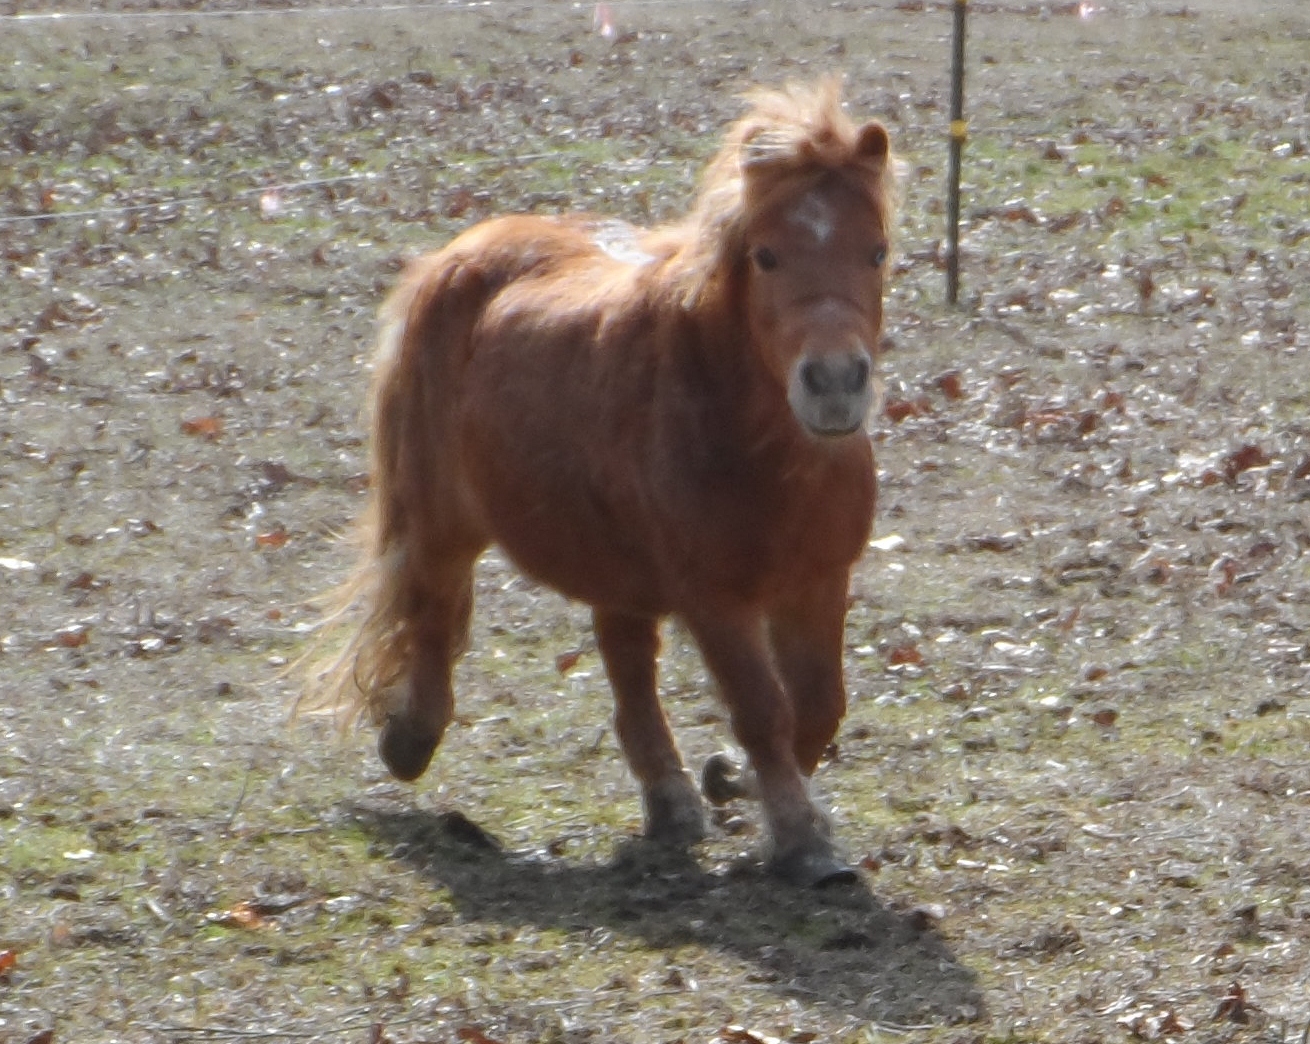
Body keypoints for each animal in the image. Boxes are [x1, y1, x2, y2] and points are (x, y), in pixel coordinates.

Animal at [310, 79, 896, 887]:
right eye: (766, 256)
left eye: (876, 251)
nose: (835, 384)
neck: (770, 458)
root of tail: (460, 254)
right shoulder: (715, 601)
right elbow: (763, 709)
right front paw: (802, 841)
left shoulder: (817, 582)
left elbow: (817, 708)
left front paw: (734, 781)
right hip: (440, 519)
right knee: (431, 608)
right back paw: (409, 740)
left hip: (619, 566)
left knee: (628, 671)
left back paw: (672, 802)